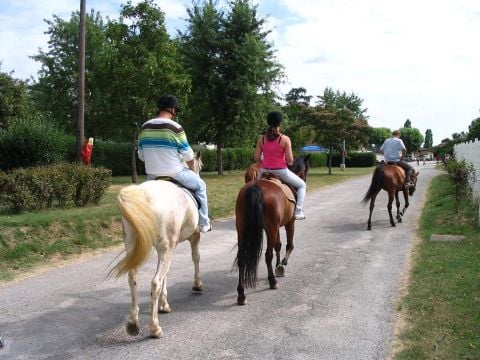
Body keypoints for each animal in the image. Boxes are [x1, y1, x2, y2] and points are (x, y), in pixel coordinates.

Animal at [110, 154, 202, 338]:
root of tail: (144, 195)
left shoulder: (169, 249)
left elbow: (167, 273)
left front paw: (163, 304)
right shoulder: (192, 237)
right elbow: (195, 258)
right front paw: (197, 284)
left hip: (132, 244)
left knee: (132, 278)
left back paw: (133, 323)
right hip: (165, 248)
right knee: (155, 282)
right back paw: (155, 328)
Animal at [234, 156, 310, 306]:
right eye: (306, 170)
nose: (305, 180)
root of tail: (255, 187)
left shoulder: (276, 227)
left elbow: (278, 245)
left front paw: (278, 264)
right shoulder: (289, 223)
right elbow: (289, 245)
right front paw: (282, 266)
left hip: (243, 229)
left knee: (242, 258)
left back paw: (241, 294)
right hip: (271, 228)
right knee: (268, 255)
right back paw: (272, 281)